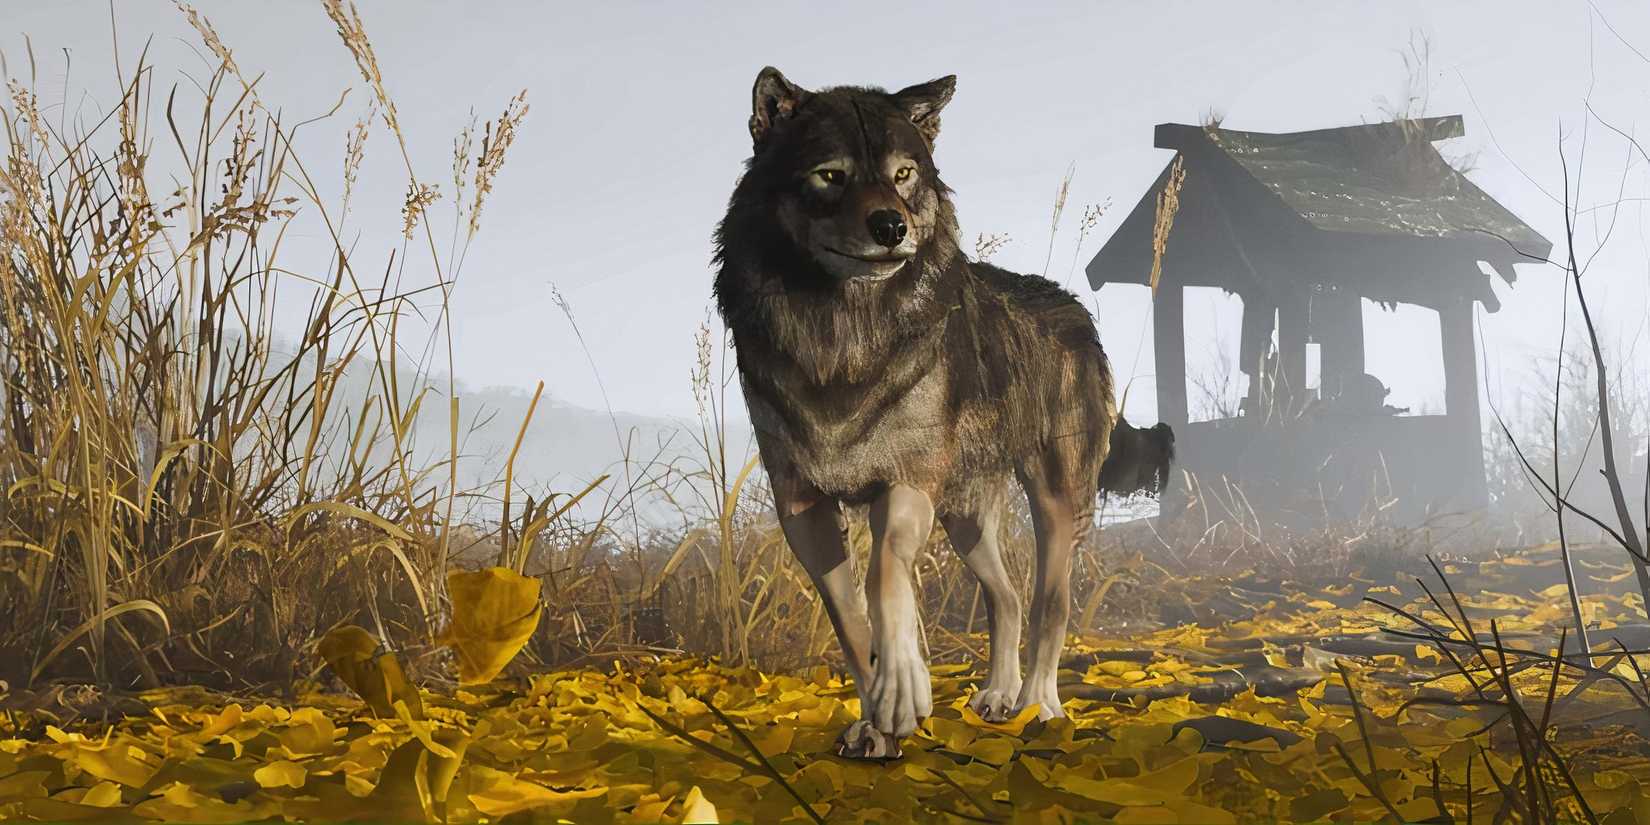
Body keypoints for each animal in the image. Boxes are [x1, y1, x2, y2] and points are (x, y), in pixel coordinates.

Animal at [713, 67, 1172, 758]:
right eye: (830, 174)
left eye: (903, 174)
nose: (890, 227)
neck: (843, 332)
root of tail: (1076, 312)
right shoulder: (802, 507)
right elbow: (849, 618)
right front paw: (875, 720)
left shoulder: (907, 479)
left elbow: (884, 577)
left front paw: (903, 689)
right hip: (965, 519)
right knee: (1006, 598)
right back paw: (999, 698)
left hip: (1056, 503)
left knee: (1051, 604)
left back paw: (1038, 706)